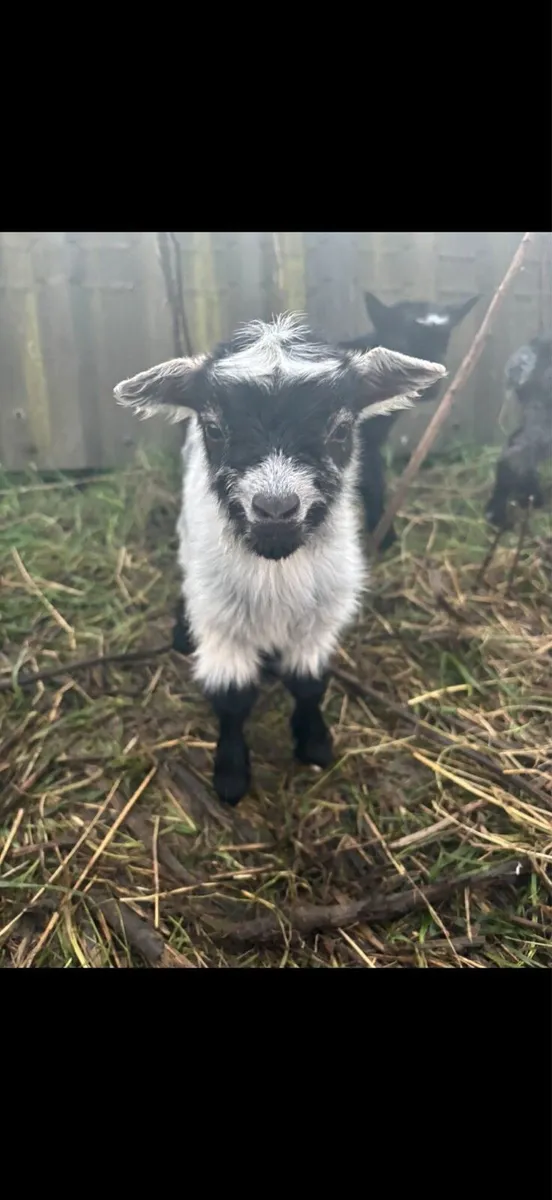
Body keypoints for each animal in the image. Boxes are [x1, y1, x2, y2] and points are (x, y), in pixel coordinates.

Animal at [115, 315, 445, 806]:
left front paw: (315, 743)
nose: (275, 510)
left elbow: (309, 684)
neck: (275, 566)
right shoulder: (222, 624)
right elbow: (232, 698)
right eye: (215, 429)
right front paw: (231, 775)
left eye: (340, 430)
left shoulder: (320, 620)